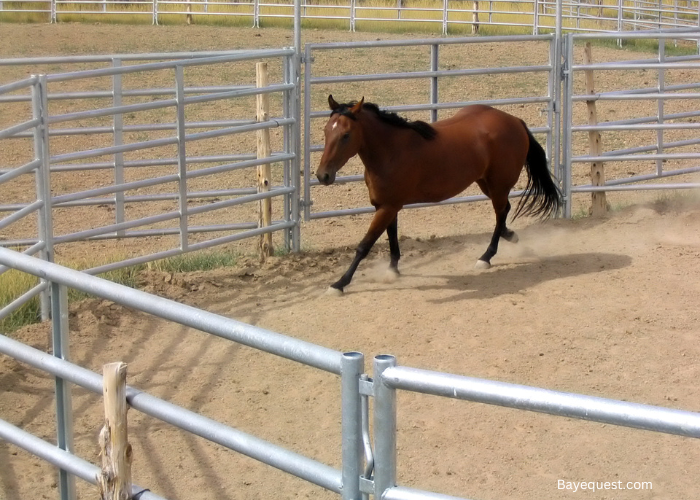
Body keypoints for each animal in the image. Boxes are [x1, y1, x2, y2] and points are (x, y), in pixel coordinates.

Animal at [318, 95, 564, 294]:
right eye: (326, 130)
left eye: (346, 135)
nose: (323, 176)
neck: (391, 151)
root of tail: (515, 121)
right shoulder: (386, 206)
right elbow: (392, 236)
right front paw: (393, 270)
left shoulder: (388, 207)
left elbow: (364, 246)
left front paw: (338, 284)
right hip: (486, 183)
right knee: (503, 212)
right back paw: (510, 237)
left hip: (498, 185)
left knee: (501, 212)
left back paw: (485, 257)